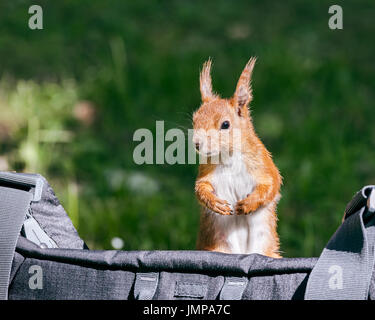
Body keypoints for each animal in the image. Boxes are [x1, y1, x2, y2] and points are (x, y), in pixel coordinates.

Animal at [194, 57, 282, 258]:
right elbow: (201, 187)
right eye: (194, 120)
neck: (228, 158)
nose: (197, 144)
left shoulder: (263, 164)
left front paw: (248, 204)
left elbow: (272, 184)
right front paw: (214, 203)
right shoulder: (207, 170)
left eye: (225, 124)